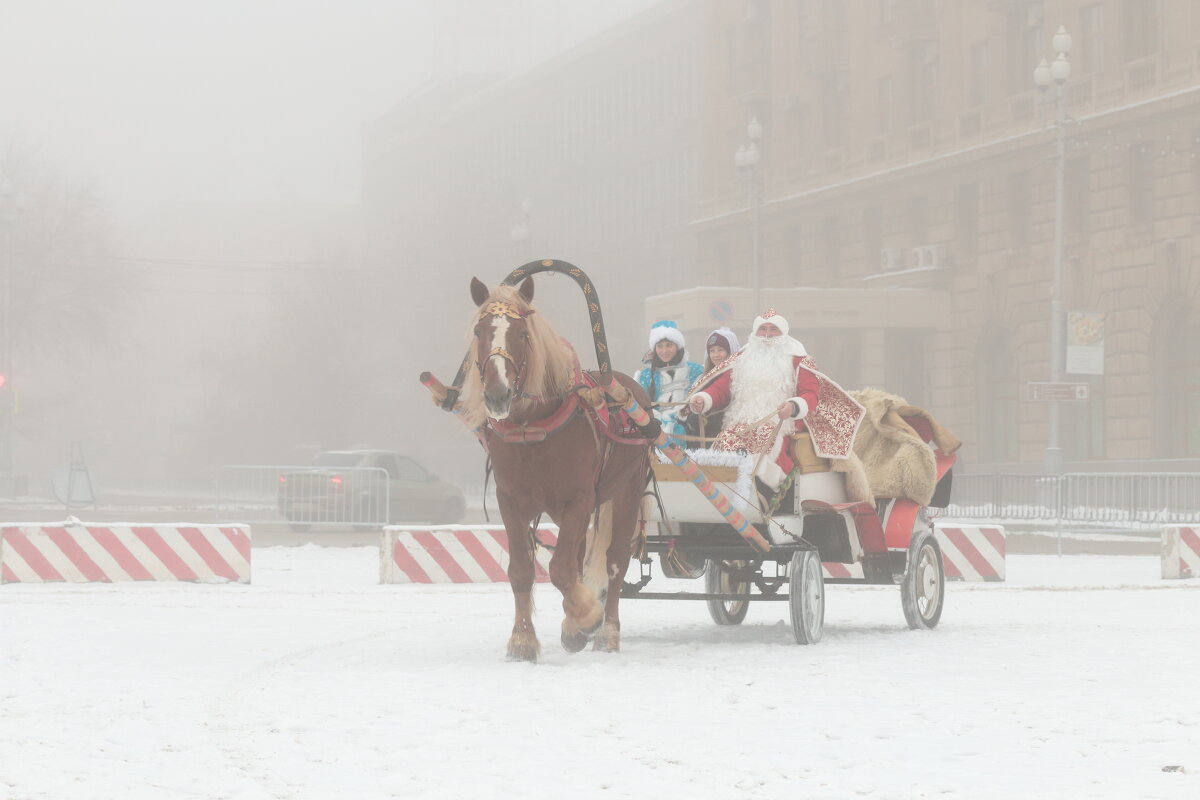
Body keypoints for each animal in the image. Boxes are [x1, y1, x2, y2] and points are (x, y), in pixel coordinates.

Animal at [458, 277, 652, 662]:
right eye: (478, 331)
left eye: (522, 332)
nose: (497, 394)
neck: (532, 428)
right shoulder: (510, 501)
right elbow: (522, 570)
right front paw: (522, 639)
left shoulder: (579, 498)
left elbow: (561, 569)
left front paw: (587, 615)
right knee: (578, 554)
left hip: (628, 489)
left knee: (615, 561)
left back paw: (607, 631)